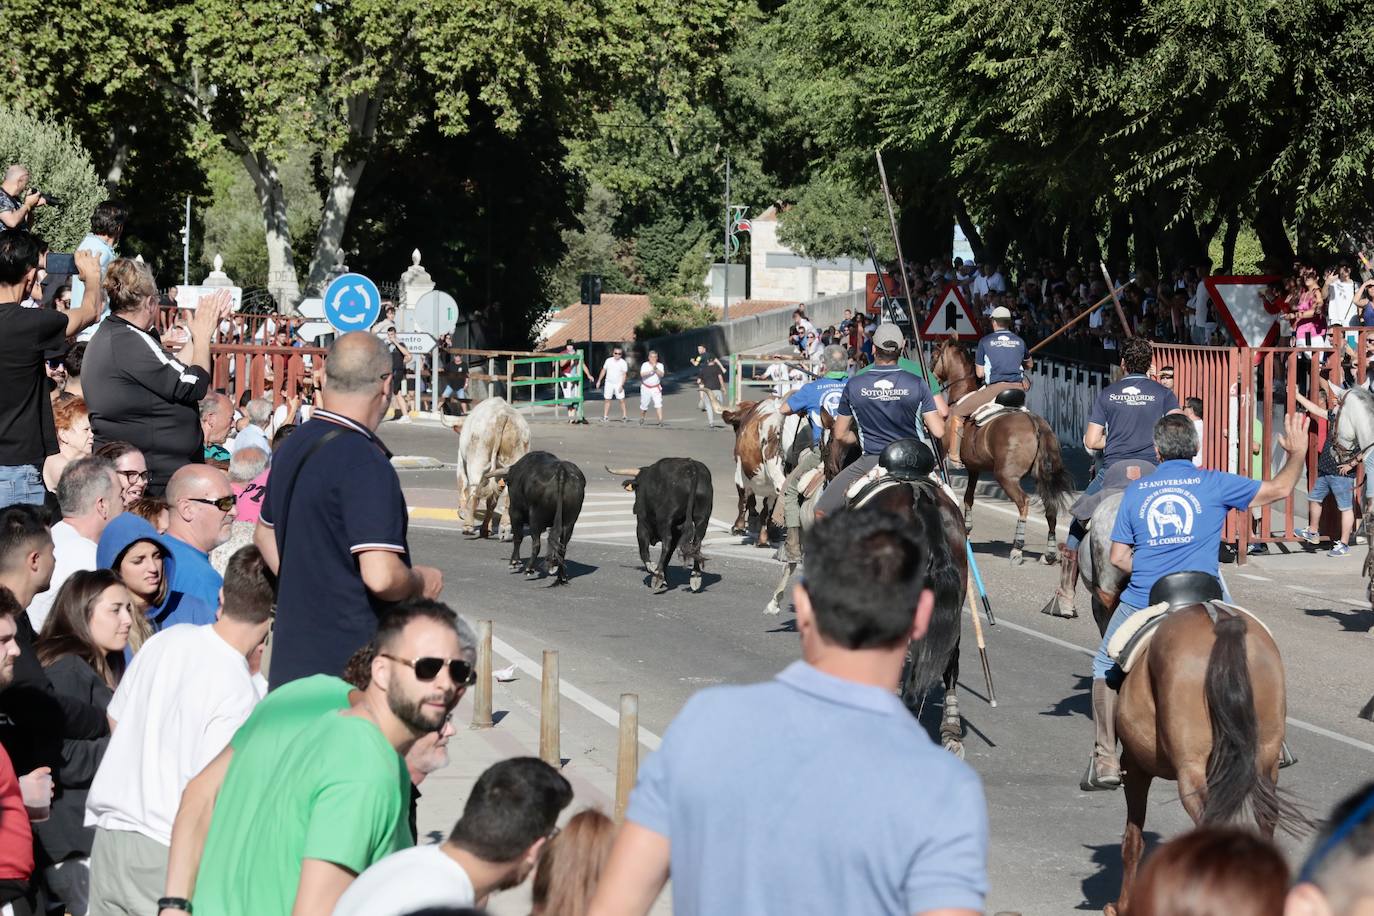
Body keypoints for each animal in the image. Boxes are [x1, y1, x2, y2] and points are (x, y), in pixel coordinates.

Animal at [456, 398, 530, 541]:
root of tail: (503, 415)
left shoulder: (461, 460)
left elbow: (462, 484)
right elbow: (492, 501)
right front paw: (487, 529)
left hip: (477, 461)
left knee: (475, 490)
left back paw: (468, 527)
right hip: (513, 461)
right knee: (507, 495)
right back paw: (504, 529)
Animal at [607, 458, 714, 596]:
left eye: (637, 490)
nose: (634, 508)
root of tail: (691, 467)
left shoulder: (642, 524)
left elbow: (644, 549)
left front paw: (654, 569)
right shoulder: (677, 530)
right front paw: (663, 575)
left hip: (665, 519)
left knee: (667, 542)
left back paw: (657, 576)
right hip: (702, 517)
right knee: (696, 543)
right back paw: (695, 577)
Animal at [934, 340, 1071, 563]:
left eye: (935, 355)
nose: (933, 375)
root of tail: (1034, 422)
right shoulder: (974, 468)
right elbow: (968, 497)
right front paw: (967, 530)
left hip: (1006, 476)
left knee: (1024, 502)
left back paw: (1017, 548)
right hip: (1042, 476)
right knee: (1050, 508)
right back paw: (1049, 553)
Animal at [1104, 579, 1297, 916]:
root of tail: (1221, 623)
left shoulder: (1135, 766)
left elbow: (1133, 840)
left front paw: (1123, 906)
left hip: (1190, 769)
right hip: (1265, 761)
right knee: (1265, 819)